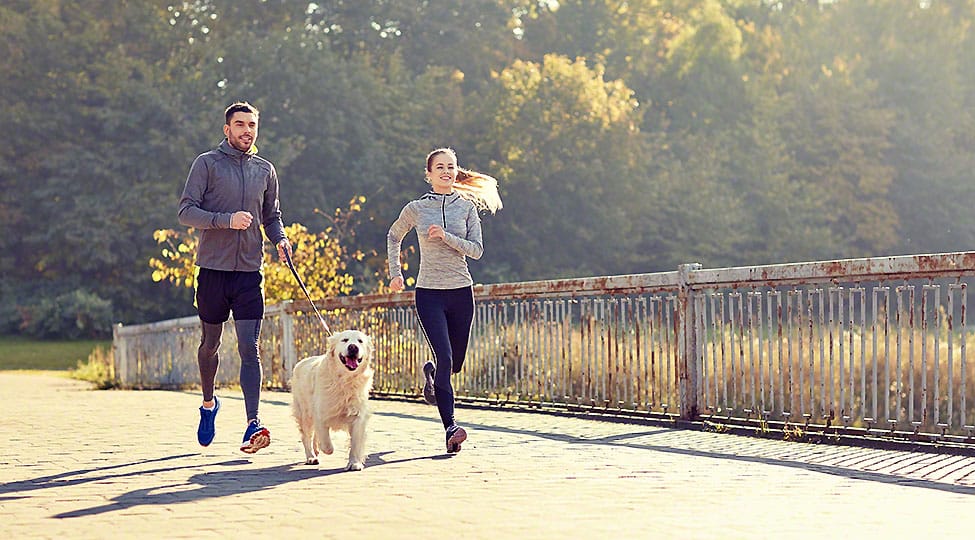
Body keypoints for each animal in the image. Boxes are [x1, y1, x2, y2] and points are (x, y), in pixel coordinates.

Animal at [290, 326, 374, 470]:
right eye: (344, 340)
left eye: (360, 341)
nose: (353, 347)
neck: (345, 381)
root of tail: (301, 362)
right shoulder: (320, 412)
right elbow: (326, 443)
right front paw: (327, 449)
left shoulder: (358, 416)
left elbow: (356, 442)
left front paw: (354, 463)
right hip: (304, 413)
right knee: (306, 436)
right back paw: (311, 457)